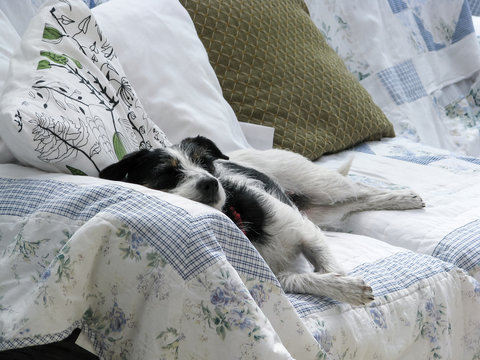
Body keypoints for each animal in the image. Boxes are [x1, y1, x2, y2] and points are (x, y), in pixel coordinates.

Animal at [98, 136, 424, 306]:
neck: (238, 219)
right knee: (356, 202)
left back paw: (405, 198)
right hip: (323, 213)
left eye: (206, 163)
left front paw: (343, 283)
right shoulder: (279, 275)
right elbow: (306, 278)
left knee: (362, 189)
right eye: (166, 173)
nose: (211, 183)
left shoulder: (307, 233)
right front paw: (344, 288)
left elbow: (329, 264)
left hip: (321, 184)